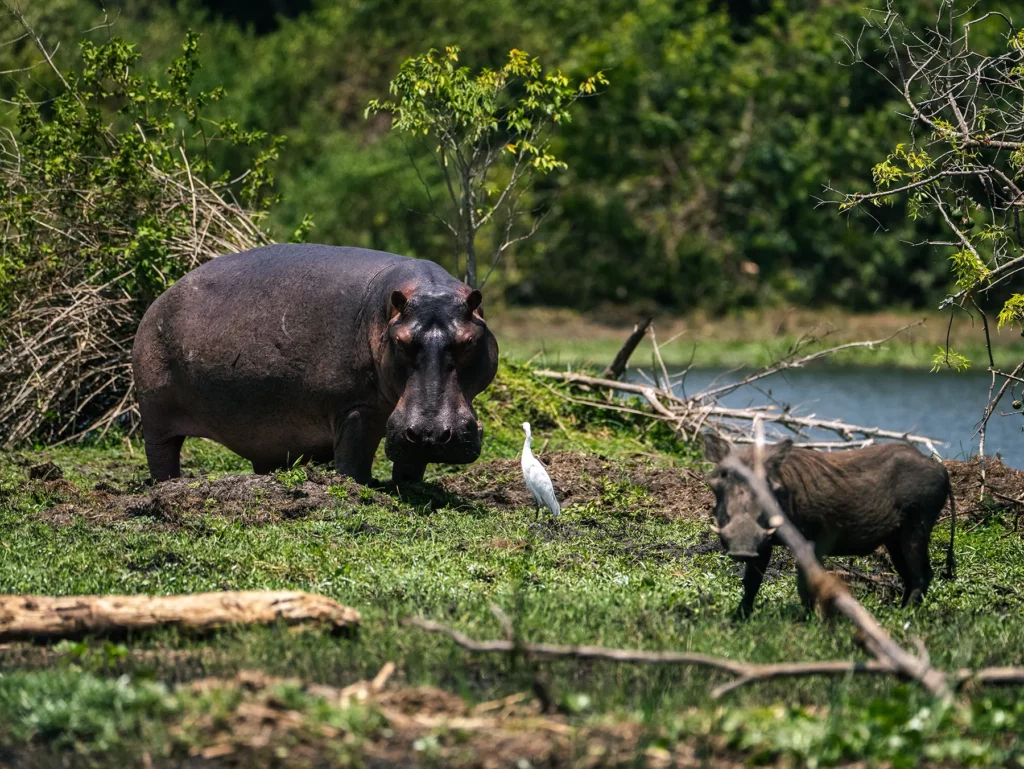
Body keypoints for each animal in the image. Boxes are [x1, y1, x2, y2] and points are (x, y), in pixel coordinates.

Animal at [132, 244, 499, 484]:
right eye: (401, 342)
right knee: (162, 455)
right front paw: (356, 489)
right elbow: (352, 461)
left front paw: (407, 488)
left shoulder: (403, 425)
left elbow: (411, 463)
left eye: (469, 341)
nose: (432, 432)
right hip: (155, 415)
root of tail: (158, 300)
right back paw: (169, 488)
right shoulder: (355, 408)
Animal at [701, 434, 956, 617]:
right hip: (894, 539)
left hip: (917, 527)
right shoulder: (762, 543)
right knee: (910, 577)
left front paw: (807, 621)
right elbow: (752, 583)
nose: (741, 547)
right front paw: (738, 619)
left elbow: (805, 585)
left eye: (767, 484)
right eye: (719, 480)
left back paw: (905, 618)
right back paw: (897, 614)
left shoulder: (809, 543)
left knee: (922, 575)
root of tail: (940, 468)